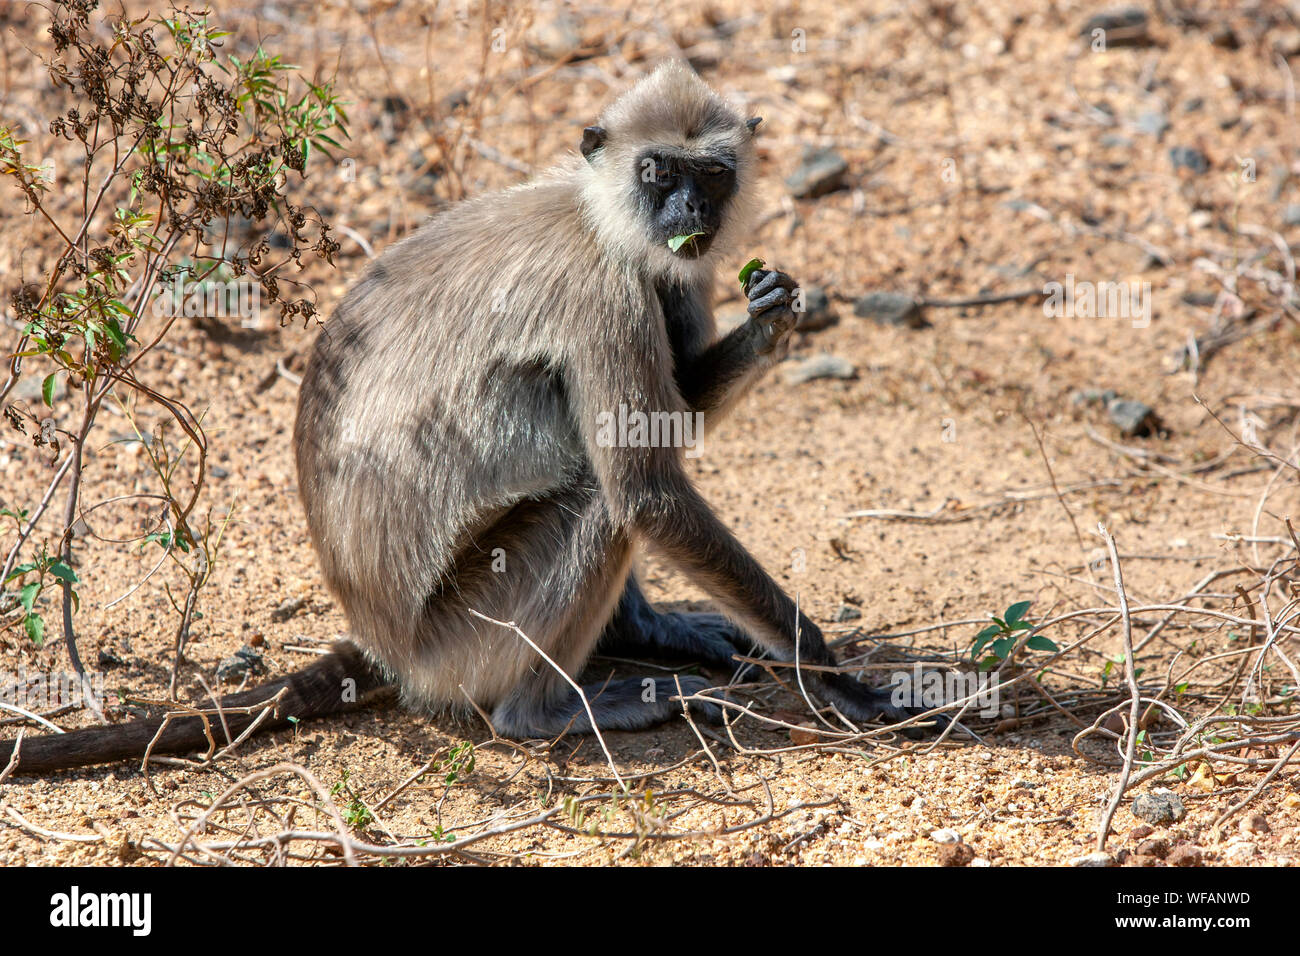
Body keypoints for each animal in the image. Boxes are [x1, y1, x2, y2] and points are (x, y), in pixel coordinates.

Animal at [0, 61, 920, 780]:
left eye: (713, 175)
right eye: (658, 172)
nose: (689, 211)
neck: (596, 217)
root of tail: (385, 643)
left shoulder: (667, 271)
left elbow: (668, 427)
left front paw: (773, 315)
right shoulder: (602, 290)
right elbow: (646, 488)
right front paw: (831, 675)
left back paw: (644, 631)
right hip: (462, 637)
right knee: (599, 496)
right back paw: (546, 712)